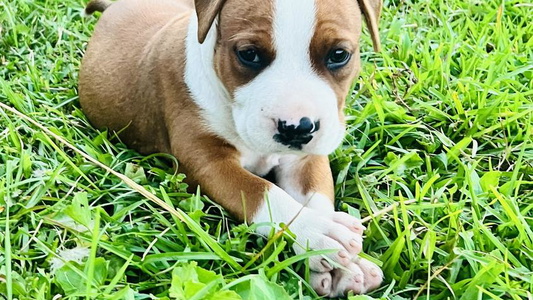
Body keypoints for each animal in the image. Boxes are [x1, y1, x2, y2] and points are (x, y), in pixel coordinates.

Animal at [80, 0, 382, 296]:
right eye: (249, 54)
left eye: (339, 54)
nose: (295, 128)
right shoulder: (209, 164)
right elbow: (263, 192)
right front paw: (320, 233)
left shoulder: (305, 158)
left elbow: (317, 196)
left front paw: (347, 263)